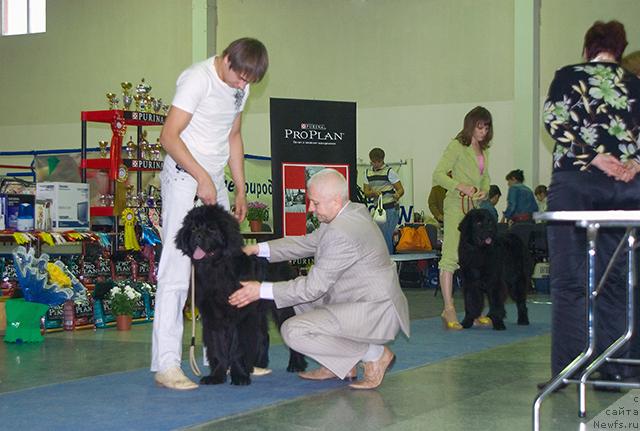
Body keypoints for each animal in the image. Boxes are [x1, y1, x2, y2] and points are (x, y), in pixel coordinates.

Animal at [174, 204, 306, 386]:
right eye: (193, 228)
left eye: (212, 229)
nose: (197, 235)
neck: (217, 269)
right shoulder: (213, 316)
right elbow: (218, 346)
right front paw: (217, 375)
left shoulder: (240, 315)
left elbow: (238, 347)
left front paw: (240, 376)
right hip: (257, 311)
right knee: (263, 335)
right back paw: (259, 364)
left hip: (280, 308)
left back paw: (296, 364)